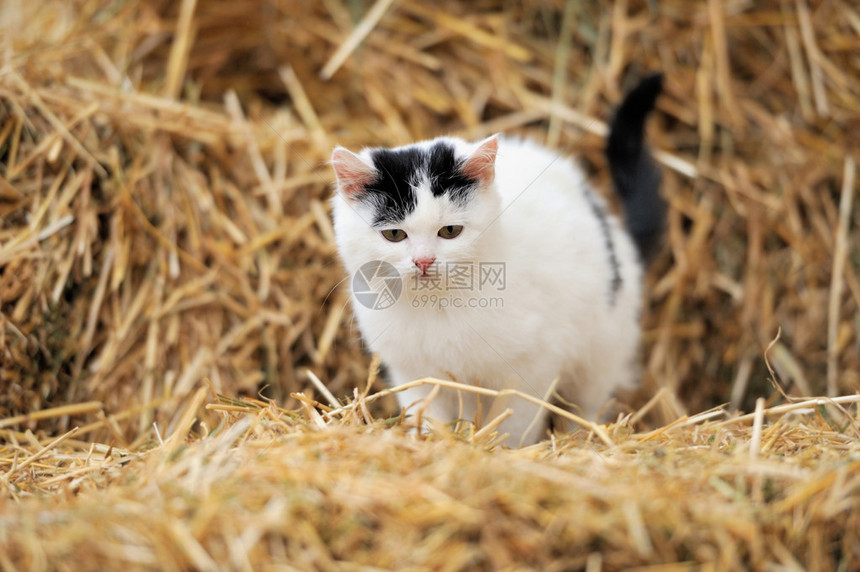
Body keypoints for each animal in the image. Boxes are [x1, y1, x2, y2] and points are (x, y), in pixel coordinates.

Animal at [330, 73, 664, 444]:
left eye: (450, 231)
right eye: (393, 235)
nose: (424, 262)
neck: (437, 307)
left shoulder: (535, 363)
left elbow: (515, 421)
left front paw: (502, 447)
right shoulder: (413, 371)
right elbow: (429, 414)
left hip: (602, 345)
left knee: (586, 405)